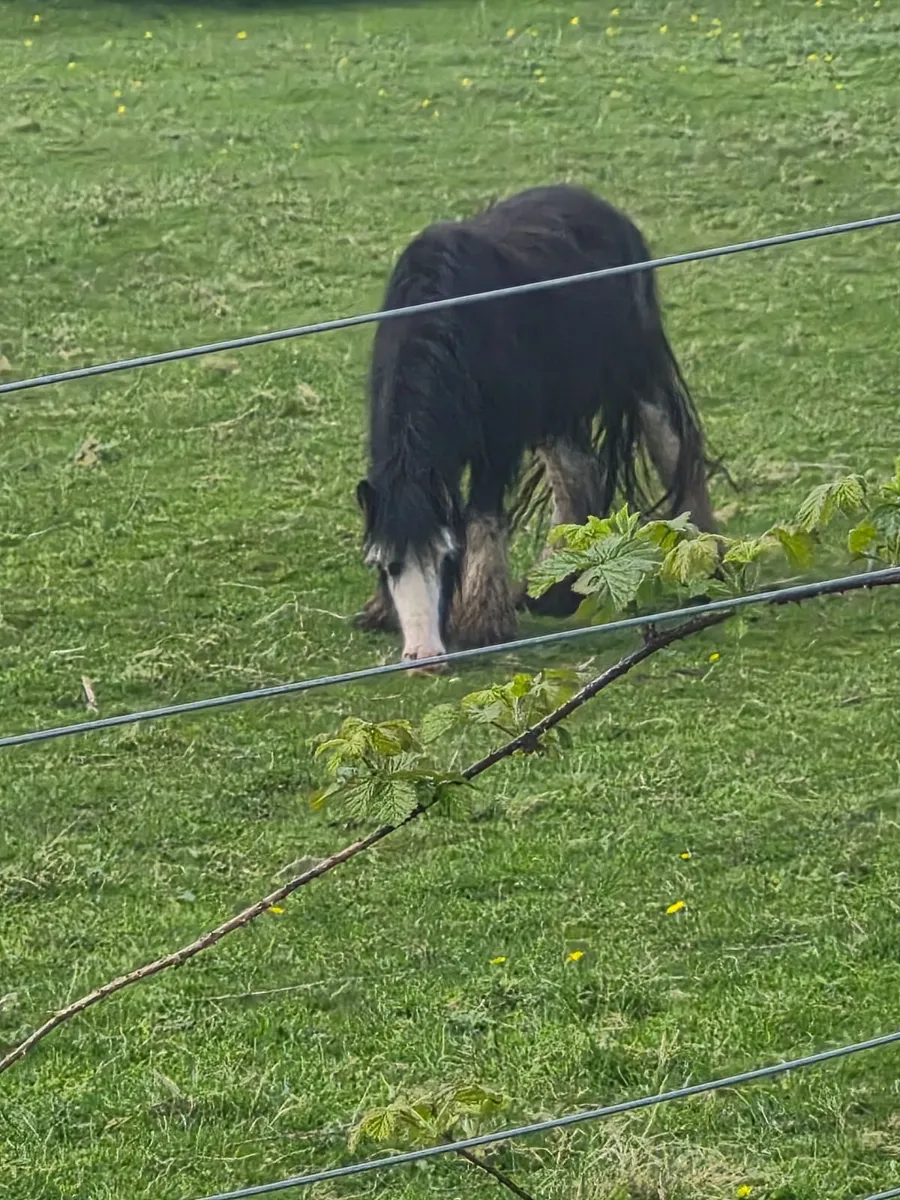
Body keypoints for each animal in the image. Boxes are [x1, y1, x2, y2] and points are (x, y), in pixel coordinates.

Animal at [355, 184, 716, 667]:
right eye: (385, 565)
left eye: (446, 558)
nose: (424, 658)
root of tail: (609, 212)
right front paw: (381, 610)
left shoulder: (498, 443)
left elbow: (483, 519)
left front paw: (483, 621)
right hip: (556, 408)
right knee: (578, 475)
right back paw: (553, 591)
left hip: (635, 371)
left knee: (673, 444)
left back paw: (707, 557)